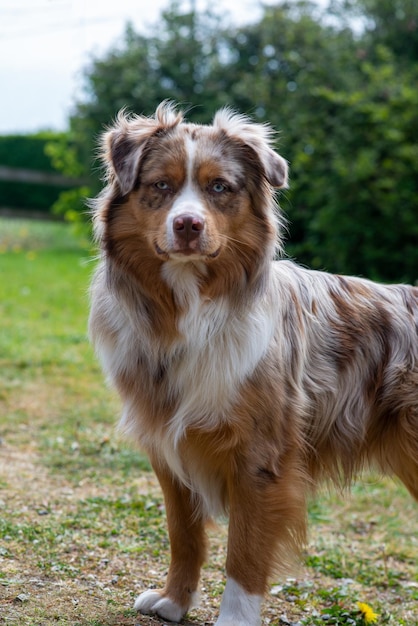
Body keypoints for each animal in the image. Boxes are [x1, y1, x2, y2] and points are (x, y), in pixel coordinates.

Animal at [89, 102, 418, 624]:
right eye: (160, 185)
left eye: (219, 187)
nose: (188, 225)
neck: (190, 310)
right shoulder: (168, 448)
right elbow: (184, 535)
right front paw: (174, 600)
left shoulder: (261, 457)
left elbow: (243, 552)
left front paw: (233, 618)